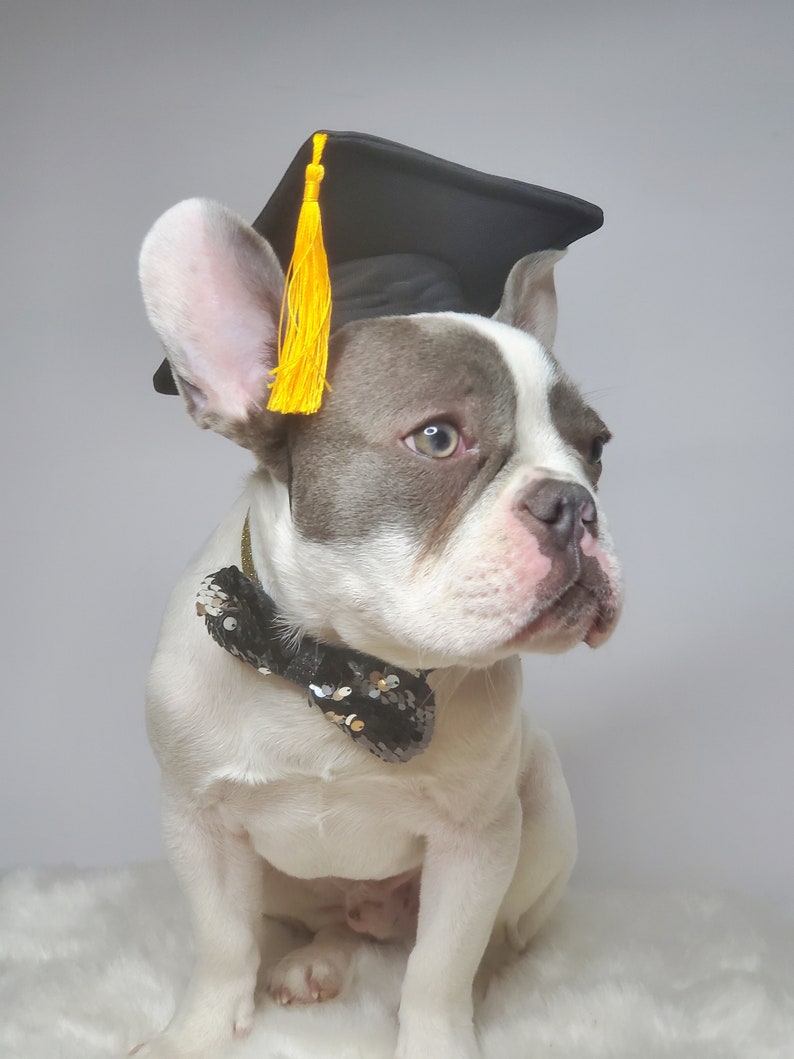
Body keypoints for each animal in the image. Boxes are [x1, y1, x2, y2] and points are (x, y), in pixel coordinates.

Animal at [133, 199, 626, 1059]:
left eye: (595, 448)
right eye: (437, 437)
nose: (575, 503)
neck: (337, 667)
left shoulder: (475, 842)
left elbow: (439, 967)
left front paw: (440, 1039)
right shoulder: (199, 821)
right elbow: (223, 942)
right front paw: (194, 1033)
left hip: (540, 815)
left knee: (492, 940)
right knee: (329, 922)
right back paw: (317, 962)